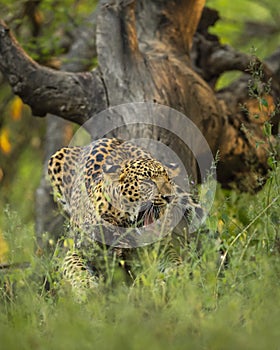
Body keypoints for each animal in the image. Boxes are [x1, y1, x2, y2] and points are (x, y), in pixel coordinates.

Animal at [48, 137, 201, 296]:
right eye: (147, 181)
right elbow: (76, 268)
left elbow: (174, 261)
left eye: (168, 180)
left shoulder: (162, 247)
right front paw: (86, 289)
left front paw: (177, 278)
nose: (169, 196)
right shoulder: (76, 249)